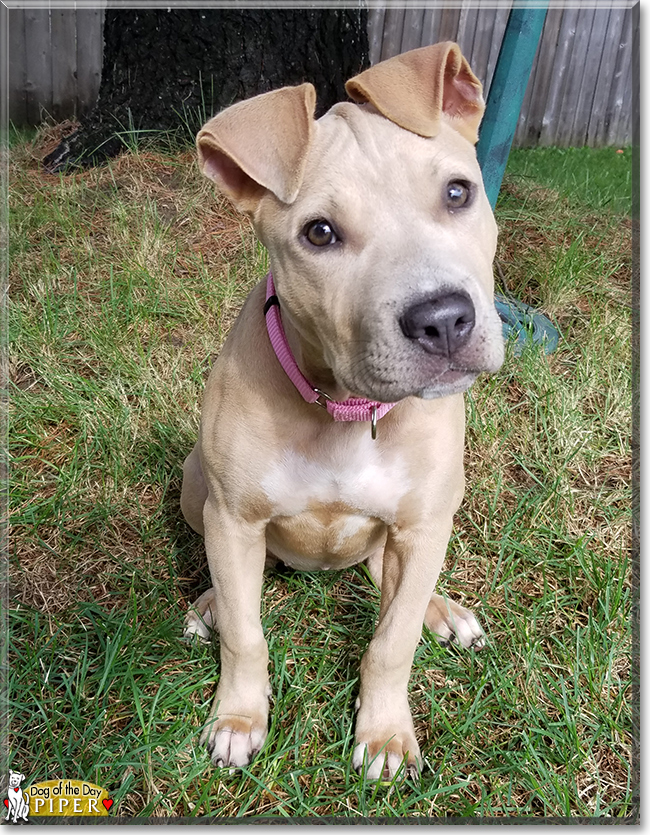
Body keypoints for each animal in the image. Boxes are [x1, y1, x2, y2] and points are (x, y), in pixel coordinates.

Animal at [180, 40, 504, 784]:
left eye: (457, 193)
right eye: (320, 233)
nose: (444, 319)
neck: (347, 410)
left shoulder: (423, 522)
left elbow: (392, 640)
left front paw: (384, 735)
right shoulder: (234, 517)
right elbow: (247, 634)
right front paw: (238, 720)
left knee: (389, 579)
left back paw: (442, 611)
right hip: (195, 484)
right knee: (237, 582)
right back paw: (209, 603)